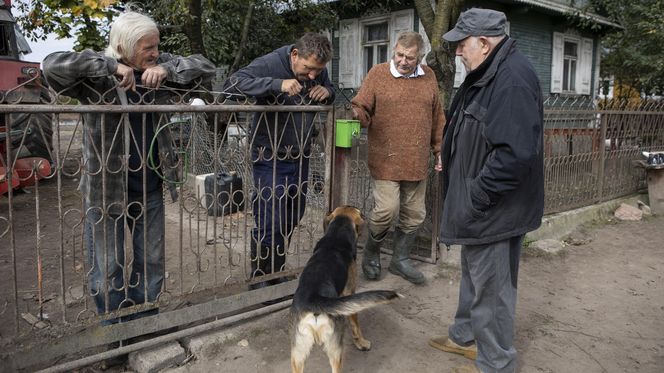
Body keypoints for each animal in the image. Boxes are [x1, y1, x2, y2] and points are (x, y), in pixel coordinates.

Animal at [290, 205, 400, 370]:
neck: (336, 237)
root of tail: (313, 299)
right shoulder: (350, 294)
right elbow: (356, 326)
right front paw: (362, 343)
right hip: (335, 351)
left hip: (297, 355)